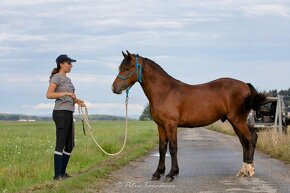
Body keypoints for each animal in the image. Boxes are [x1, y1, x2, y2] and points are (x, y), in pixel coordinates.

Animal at [111, 50, 268, 182]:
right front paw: (158, 173)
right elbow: (162, 148)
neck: (164, 92)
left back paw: (249, 170)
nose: (114, 88)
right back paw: (243, 171)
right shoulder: (161, 126)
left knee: (250, 138)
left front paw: (171, 174)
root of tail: (245, 85)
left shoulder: (171, 125)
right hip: (236, 122)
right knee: (245, 141)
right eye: (120, 68)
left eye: (128, 68)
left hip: (237, 120)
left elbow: (173, 148)